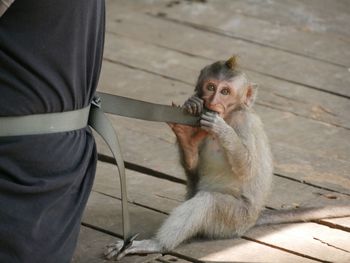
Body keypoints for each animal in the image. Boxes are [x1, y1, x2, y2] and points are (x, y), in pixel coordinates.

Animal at [104, 56, 350, 260]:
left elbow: (248, 168)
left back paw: (157, 244)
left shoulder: (244, 123)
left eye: (225, 92)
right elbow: (194, 167)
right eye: (211, 87)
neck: (230, 114)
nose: (213, 100)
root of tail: (254, 218)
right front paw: (187, 132)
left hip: (234, 220)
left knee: (208, 203)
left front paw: (221, 129)